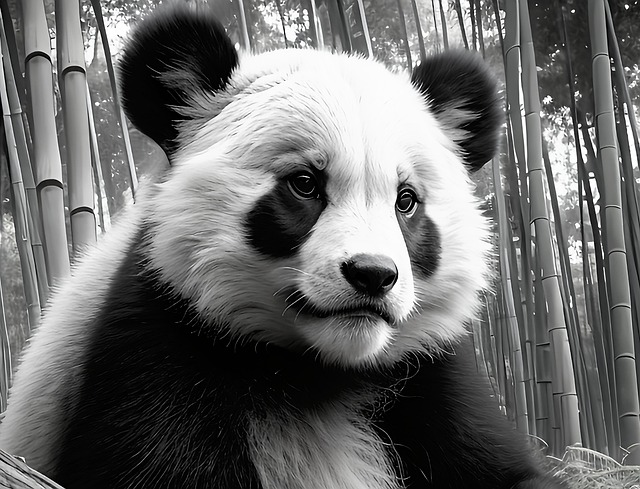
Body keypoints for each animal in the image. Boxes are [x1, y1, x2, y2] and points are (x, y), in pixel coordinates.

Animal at [0, 6, 565, 489]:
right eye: (305, 184)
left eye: (406, 201)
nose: (373, 274)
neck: (315, 370)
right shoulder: (156, 334)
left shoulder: (424, 372)